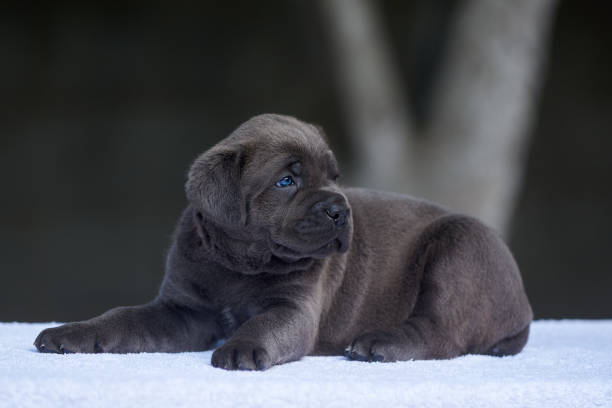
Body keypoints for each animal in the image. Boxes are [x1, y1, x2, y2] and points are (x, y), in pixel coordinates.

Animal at [33, 113, 532, 368]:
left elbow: (266, 324)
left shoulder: (294, 309)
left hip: (460, 247)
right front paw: (72, 334)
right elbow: (123, 319)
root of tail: (522, 308)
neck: (239, 261)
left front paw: (241, 348)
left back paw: (380, 344)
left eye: (334, 177)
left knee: (441, 332)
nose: (340, 210)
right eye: (286, 181)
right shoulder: (183, 310)